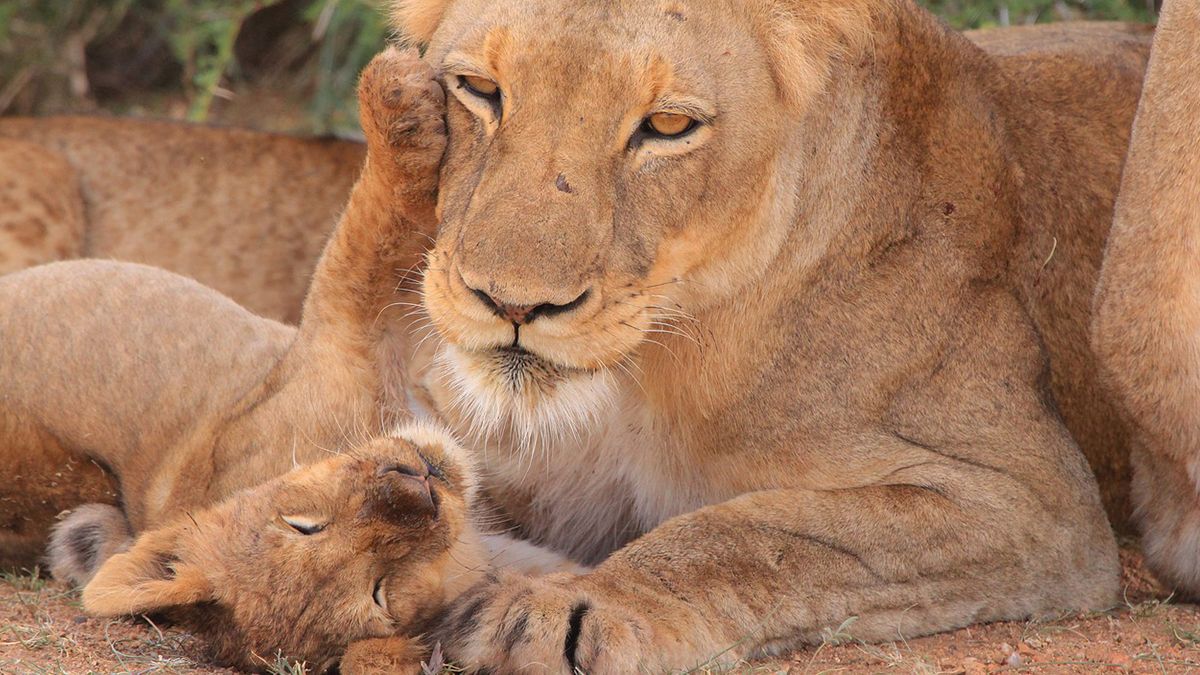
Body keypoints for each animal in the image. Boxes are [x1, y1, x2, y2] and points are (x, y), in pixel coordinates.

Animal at [0, 49, 574, 672]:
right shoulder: (343, 323)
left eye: (301, 523)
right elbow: (372, 229)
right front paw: (397, 95)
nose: (413, 483)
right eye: (379, 588)